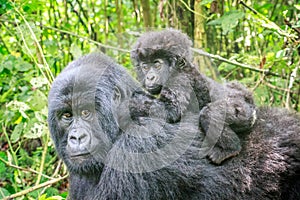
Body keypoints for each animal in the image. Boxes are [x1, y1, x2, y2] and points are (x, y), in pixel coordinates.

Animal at [130, 29, 256, 164]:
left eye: (157, 64)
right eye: (145, 67)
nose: (150, 77)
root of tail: (249, 101)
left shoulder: (179, 79)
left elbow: (171, 110)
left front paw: (129, 104)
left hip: (242, 111)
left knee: (209, 113)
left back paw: (230, 149)